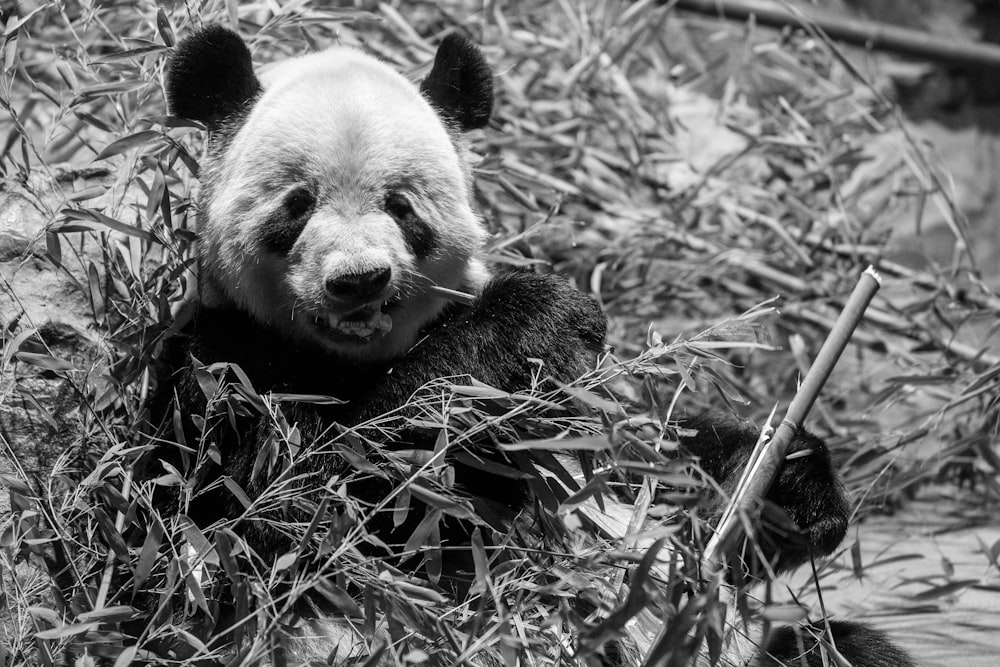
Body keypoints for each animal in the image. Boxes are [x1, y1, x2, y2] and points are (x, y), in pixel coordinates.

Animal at [148, 23, 916, 667]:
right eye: (297, 204)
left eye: (401, 204)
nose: (359, 281)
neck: (360, 357)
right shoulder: (224, 368)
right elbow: (293, 516)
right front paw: (536, 317)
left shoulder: (575, 425)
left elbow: (652, 472)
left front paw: (786, 485)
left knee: (841, 649)